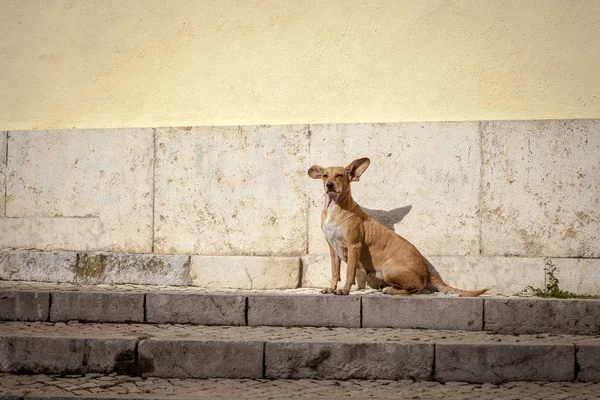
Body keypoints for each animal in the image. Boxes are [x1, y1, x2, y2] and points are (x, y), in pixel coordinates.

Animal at [310, 157, 488, 296]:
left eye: (339, 175)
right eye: (325, 175)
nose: (329, 185)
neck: (334, 207)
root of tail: (426, 269)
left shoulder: (354, 246)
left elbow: (349, 273)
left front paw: (344, 290)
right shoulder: (333, 249)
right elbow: (335, 272)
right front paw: (331, 288)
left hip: (389, 268)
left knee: (418, 289)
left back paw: (390, 290)